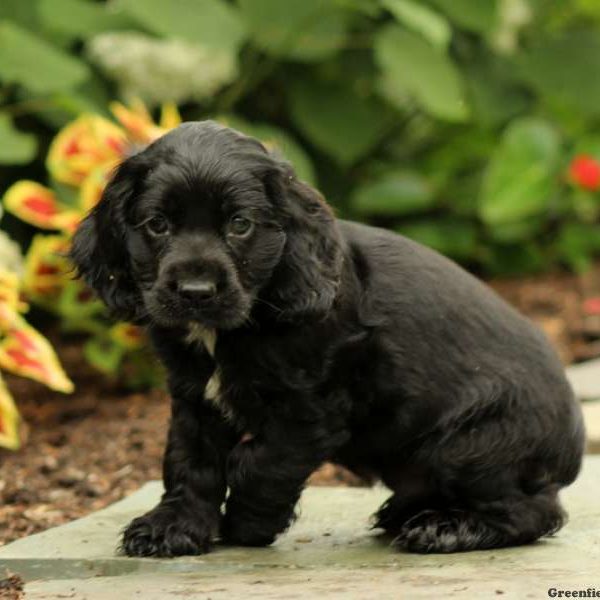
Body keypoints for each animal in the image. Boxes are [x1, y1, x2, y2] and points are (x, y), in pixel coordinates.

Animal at [71, 122, 584, 556]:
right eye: (157, 225)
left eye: (240, 225)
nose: (196, 292)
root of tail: (574, 445)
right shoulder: (194, 396)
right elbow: (189, 461)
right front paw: (172, 528)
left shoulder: (312, 409)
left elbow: (261, 462)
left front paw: (246, 526)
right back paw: (408, 512)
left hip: (468, 447)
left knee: (536, 512)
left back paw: (447, 527)